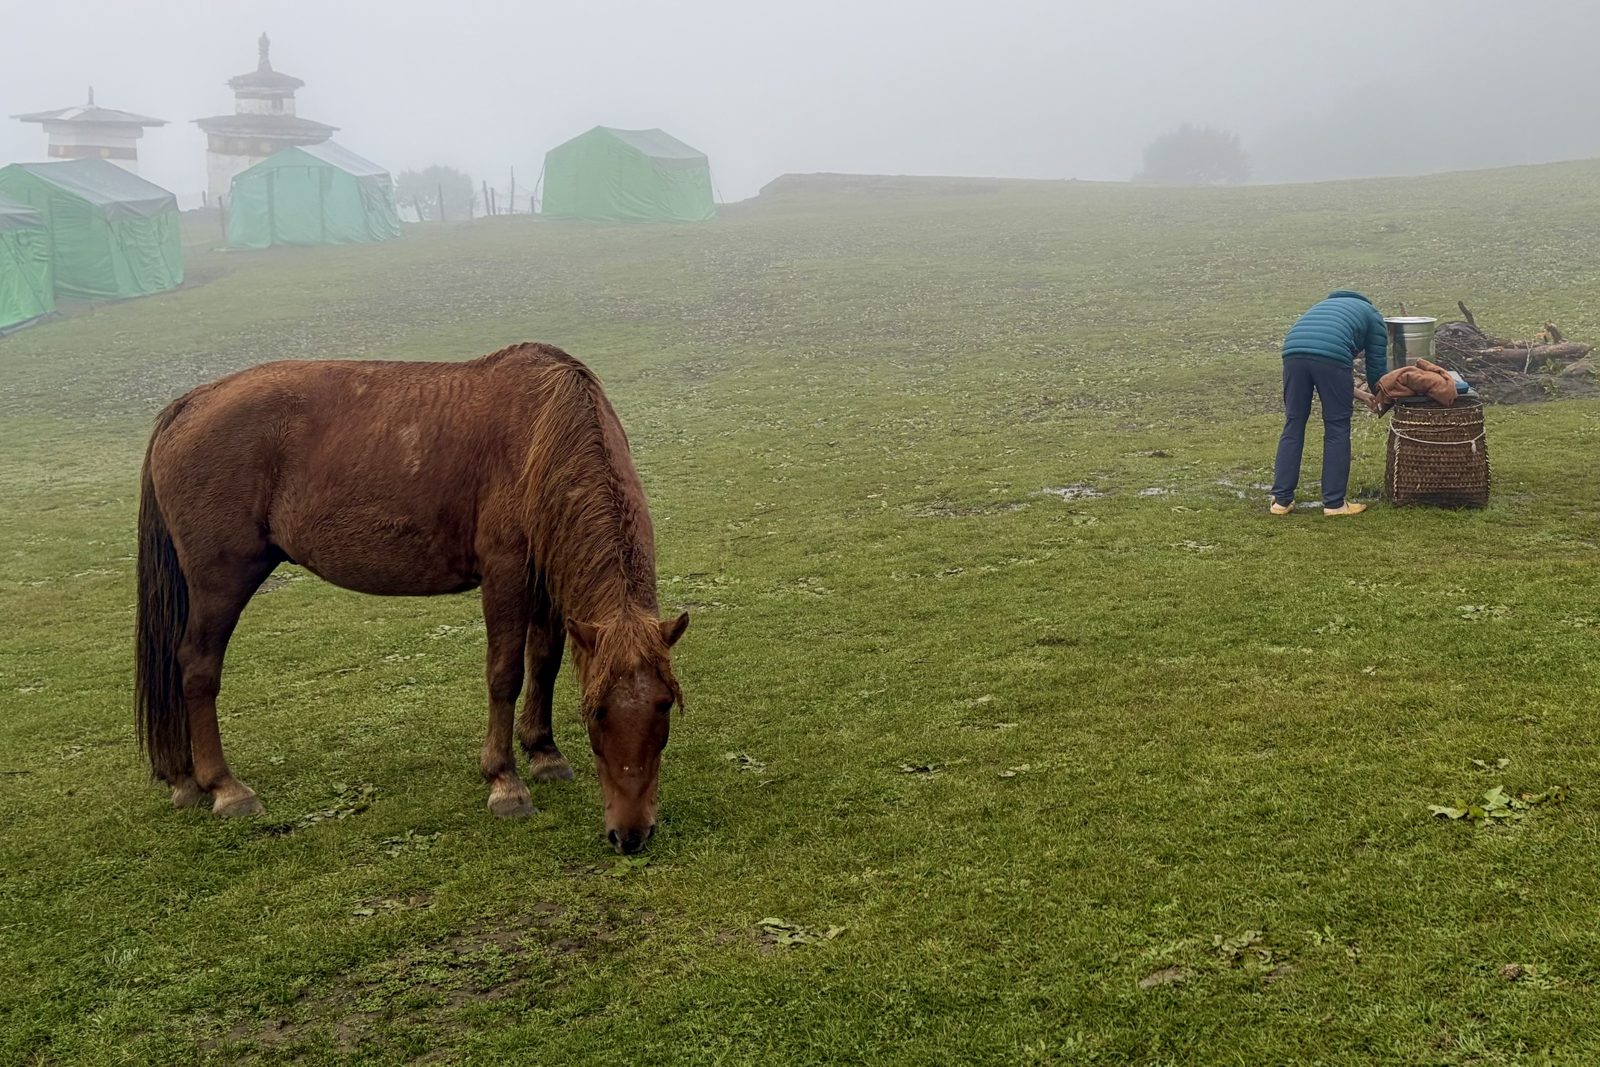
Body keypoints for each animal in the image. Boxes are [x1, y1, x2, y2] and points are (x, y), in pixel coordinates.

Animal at [134, 343, 688, 854]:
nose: (631, 835)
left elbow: (544, 663)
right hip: (222, 580)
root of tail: (191, 403)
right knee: (197, 668)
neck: (541, 429)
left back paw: (184, 779)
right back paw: (224, 787)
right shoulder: (505, 574)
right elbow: (505, 674)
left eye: (663, 705)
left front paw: (544, 753)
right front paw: (504, 781)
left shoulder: (548, 577)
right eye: (597, 713)